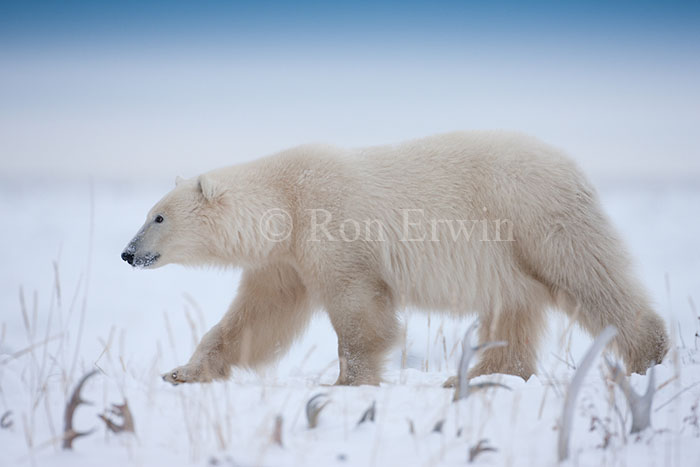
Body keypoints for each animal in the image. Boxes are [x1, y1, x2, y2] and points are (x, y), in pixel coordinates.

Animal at [121, 131, 669, 386]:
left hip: (532, 217)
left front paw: (348, 381)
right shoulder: (287, 259)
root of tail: (573, 167)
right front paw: (181, 372)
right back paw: (479, 375)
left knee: (587, 277)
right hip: (511, 249)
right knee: (514, 304)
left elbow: (358, 309)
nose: (127, 253)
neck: (286, 199)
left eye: (158, 217)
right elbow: (257, 316)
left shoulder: (332, 225)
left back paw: (649, 355)